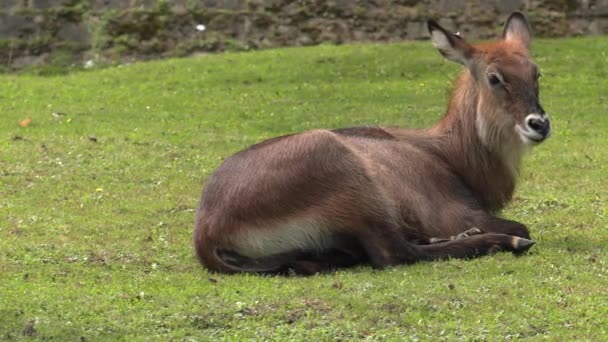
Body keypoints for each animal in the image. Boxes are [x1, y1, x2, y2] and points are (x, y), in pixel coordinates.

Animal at [194, 12, 552, 276]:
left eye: (536, 72)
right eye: (494, 77)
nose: (539, 123)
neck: (448, 152)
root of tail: (206, 232)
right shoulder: (454, 211)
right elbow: (521, 225)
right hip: (347, 177)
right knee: (392, 253)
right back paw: (503, 241)